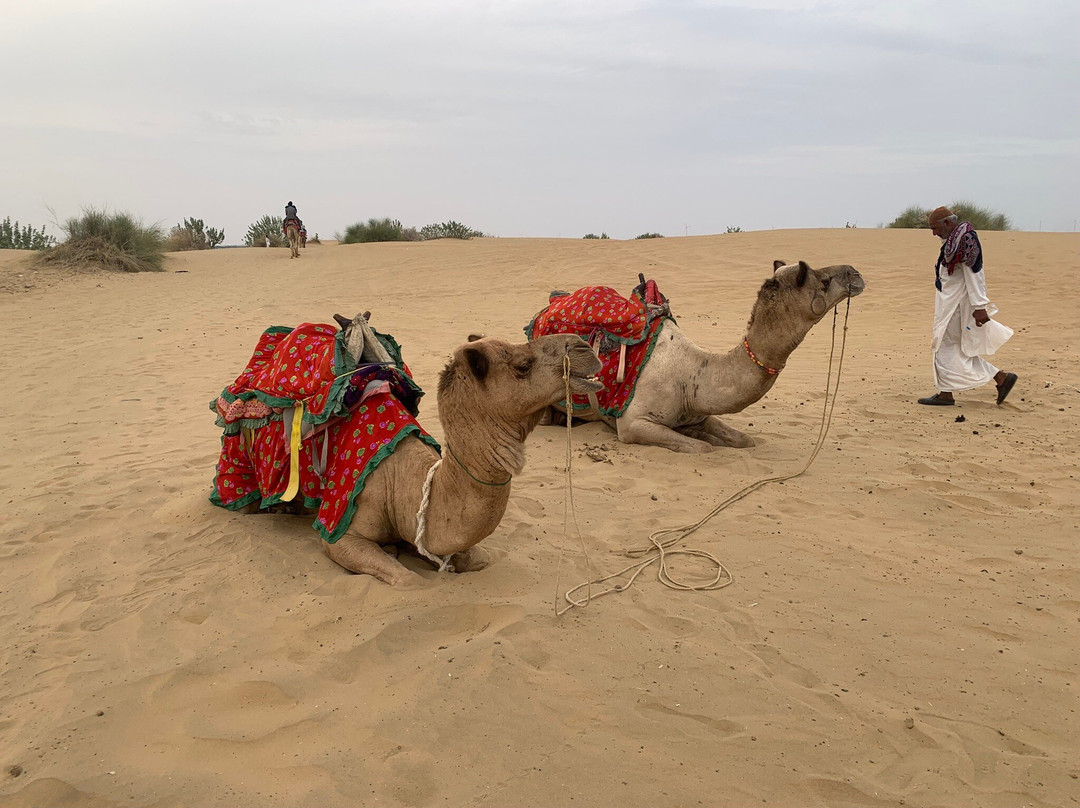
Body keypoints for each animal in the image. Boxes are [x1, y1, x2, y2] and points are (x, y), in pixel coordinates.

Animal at [555, 260, 865, 453]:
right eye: (824, 280)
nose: (856, 273)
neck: (692, 375)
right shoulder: (632, 424)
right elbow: (702, 447)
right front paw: (702, 440)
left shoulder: (697, 414)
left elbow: (745, 440)